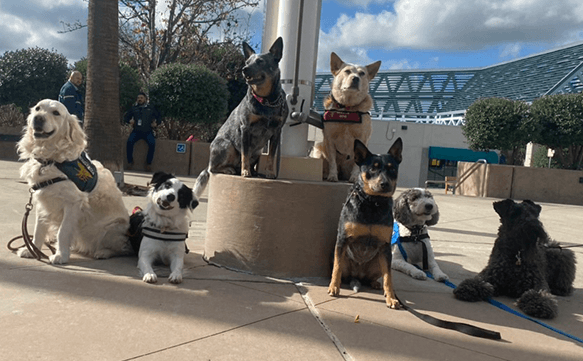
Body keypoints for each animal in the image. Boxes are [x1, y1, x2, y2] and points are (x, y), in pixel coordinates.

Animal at [16, 100, 133, 262]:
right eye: (38, 108)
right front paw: (32, 250)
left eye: (56, 113)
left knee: (122, 249)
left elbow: (63, 231)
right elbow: (38, 229)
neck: (50, 160)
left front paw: (60, 255)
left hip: (111, 229)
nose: (38, 118)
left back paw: (103, 252)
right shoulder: (43, 201)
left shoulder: (72, 203)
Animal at [195, 38, 288, 198]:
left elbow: (271, 155)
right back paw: (230, 169)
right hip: (227, 146)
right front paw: (246, 172)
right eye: (247, 62)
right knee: (214, 169)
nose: (244, 69)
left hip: (257, 152)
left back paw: (255, 172)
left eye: (260, 61)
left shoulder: (277, 131)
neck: (266, 100)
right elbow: (245, 153)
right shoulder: (245, 128)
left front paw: (270, 173)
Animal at [312, 52, 380, 181]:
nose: (355, 78)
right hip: (318, 148)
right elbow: (332, 161)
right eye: (347, 71)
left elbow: (356, 165)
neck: (347, 108)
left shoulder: (362, 139)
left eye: (362, 73)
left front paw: (354, 177)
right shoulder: (329, 138)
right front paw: (332, 176)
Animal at [328, 136, 406, 308]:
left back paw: (375, 283)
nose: (385, 184)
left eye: (392, 168)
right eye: (372, 169)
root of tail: (358, 276)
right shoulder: (342, 240)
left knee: (377, 275)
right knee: (341, 270)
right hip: (343, 257)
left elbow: (388, 277)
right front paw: (333, 287)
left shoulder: (385, 246)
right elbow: (337, 268)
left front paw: (391, 298)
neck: (372, 203)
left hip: (378, 261)